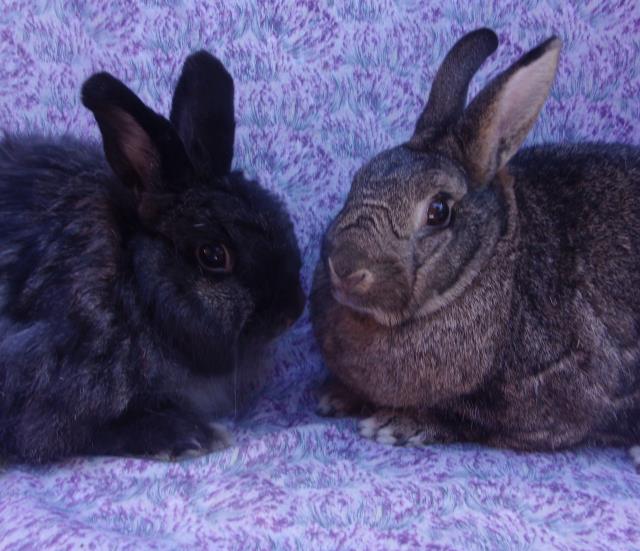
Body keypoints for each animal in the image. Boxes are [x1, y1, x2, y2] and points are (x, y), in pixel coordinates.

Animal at [310, 28, 640, 468]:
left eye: (438, 211)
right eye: (359, 177)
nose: (345, 266)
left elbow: (468, 418)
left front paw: (395, 424)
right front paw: (335, 396)